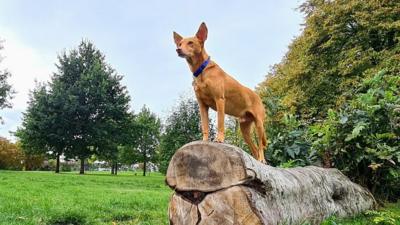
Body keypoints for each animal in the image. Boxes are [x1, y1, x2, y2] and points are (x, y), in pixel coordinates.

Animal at [173, 22, 268, 162]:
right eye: (180, 44)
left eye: (190, 43)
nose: (178, 50)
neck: (201, 71)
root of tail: (257, 95)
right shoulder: (202, 105)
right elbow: (205, 126)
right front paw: (204, 140)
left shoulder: (219, 100)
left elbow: (220, 122)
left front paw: (219, 140)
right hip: (244, 130)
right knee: (254, 149)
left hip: (259, 124)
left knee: (260, 145)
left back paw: (262, 159)